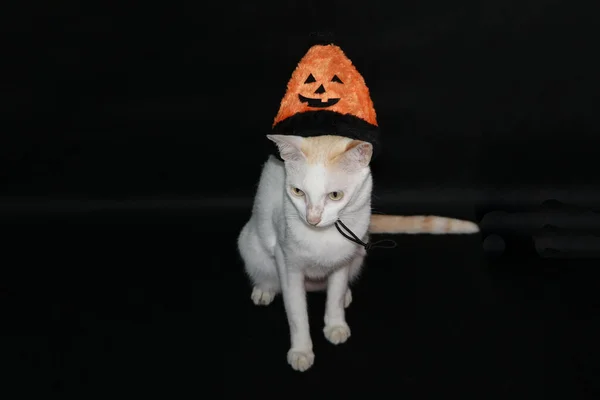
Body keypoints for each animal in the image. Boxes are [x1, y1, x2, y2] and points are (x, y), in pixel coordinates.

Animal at [237, 134, 476, 372]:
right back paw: (264, 289)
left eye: (335, 195)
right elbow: (297, 313)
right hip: (250, 245)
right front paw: (301, 351)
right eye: (297, 192)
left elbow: (334, 294)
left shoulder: (344, 259)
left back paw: (345, 295)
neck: (324, 236)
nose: (312, 219)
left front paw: (335, 324)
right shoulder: (288, 265)